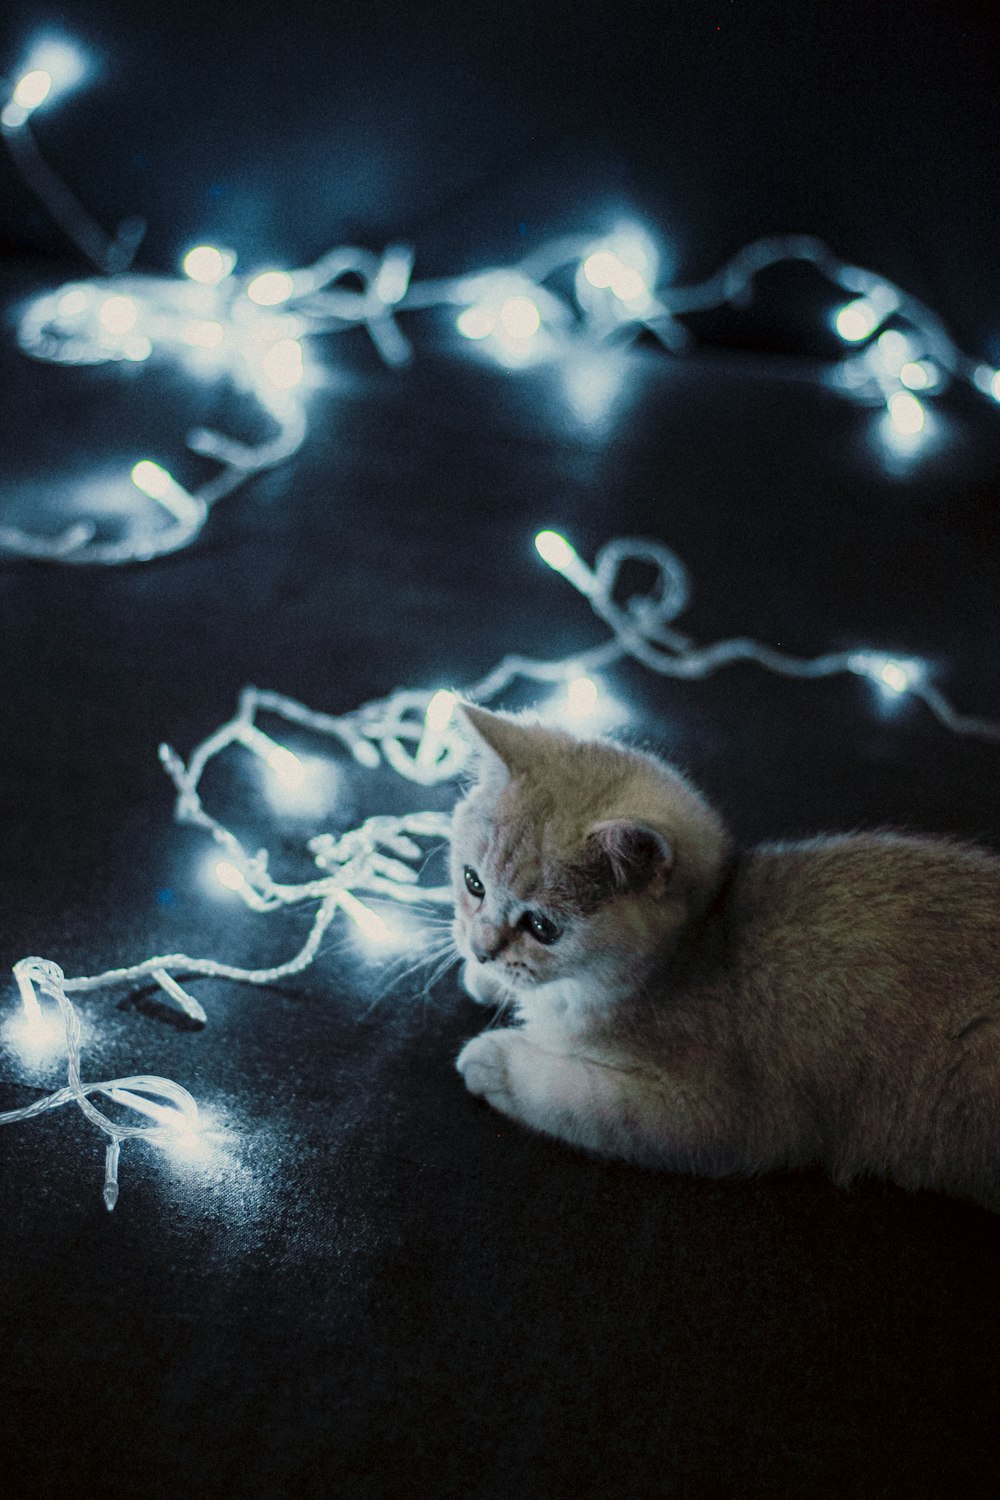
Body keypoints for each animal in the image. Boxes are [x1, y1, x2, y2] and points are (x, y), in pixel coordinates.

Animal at [452, 708, 1000, 1212]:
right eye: (473, 882)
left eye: (543, 927)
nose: (481, 947)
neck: (689, 951)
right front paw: (482, 976)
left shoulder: (718, 1117)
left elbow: (578, 1100)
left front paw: (494, 1059)